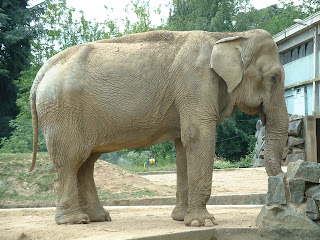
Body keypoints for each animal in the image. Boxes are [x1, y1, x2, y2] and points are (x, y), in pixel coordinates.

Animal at [30, 29, 288, 226]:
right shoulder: (195, 85)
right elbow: (198, 137)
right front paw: (202, 222)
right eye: (274, 77)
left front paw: (181, 218)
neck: (227, 36)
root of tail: (42, 71)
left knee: (86, 162)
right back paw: (75, 221)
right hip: (62, 113)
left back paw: (98, 218)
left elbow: (183, 144)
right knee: (70, 160)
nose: (284, 178)